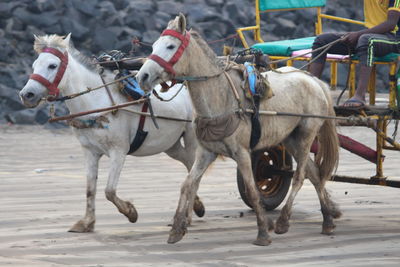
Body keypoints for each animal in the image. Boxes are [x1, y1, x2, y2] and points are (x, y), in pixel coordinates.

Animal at [19, 34, 205, 233]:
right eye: (34, 65)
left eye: (52, 65)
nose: (27, 94)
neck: (96, 103)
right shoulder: (90, 151)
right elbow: (90, 188)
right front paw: (87, 222)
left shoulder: (119, 151)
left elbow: (109, 191)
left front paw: (131, 212)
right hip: (171, 144)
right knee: (188, 163)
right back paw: (197, 206)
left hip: (191, 137)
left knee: (194, 169)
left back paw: (188, 215)